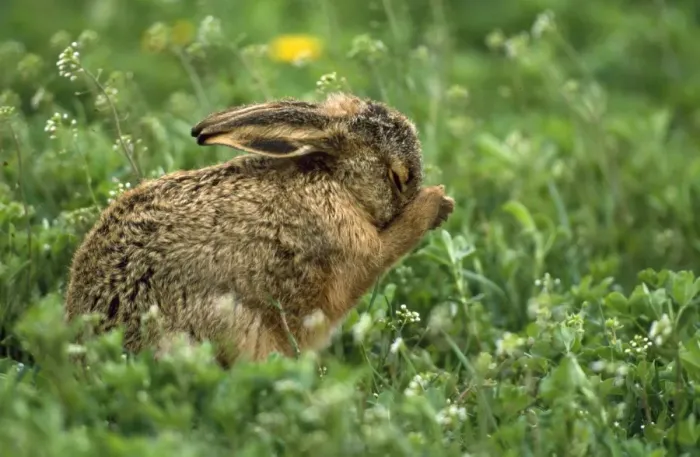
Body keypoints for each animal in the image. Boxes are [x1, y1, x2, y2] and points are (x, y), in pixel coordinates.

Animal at [64, 92, 455, 366]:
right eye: (398, 176)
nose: (440, 205)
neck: (334, 181)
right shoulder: (350, 253)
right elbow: (388, 248)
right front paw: (435, 202)